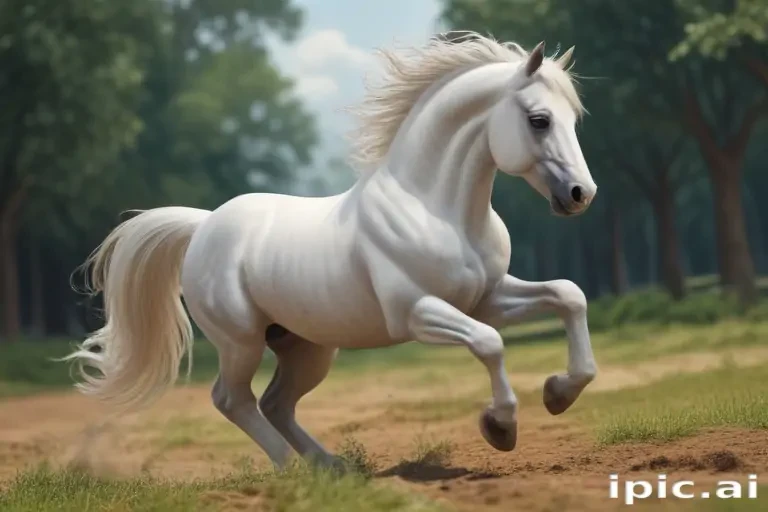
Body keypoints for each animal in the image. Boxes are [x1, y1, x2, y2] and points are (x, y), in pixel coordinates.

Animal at [62, 32, 599, 471]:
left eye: (575, 119)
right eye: (539, 120)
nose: (581, 194)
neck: (435, 208)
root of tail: (203, 226)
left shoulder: (487, 298)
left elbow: (568, 295)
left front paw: (559, 392)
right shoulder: (418, 313)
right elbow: (489, 342)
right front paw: (501, 427)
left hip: (306, 347)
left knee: (275, 403)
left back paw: (333, 467)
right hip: (241, 341)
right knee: (232, 399)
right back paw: (292, 470)